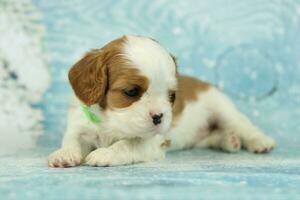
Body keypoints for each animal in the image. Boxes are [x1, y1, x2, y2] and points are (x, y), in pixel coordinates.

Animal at [48, 35, 276, 167]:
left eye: (171, 96)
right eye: (131, 91)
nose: (159, 117)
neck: (109, 122)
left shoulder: (154, 142)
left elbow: (128, 144)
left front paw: (105, 154)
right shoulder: (80, 126)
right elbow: (72, 140)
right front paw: (64, 154)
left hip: (222, 108)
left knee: (243, 125)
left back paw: (259, 141)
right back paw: (229, 140)